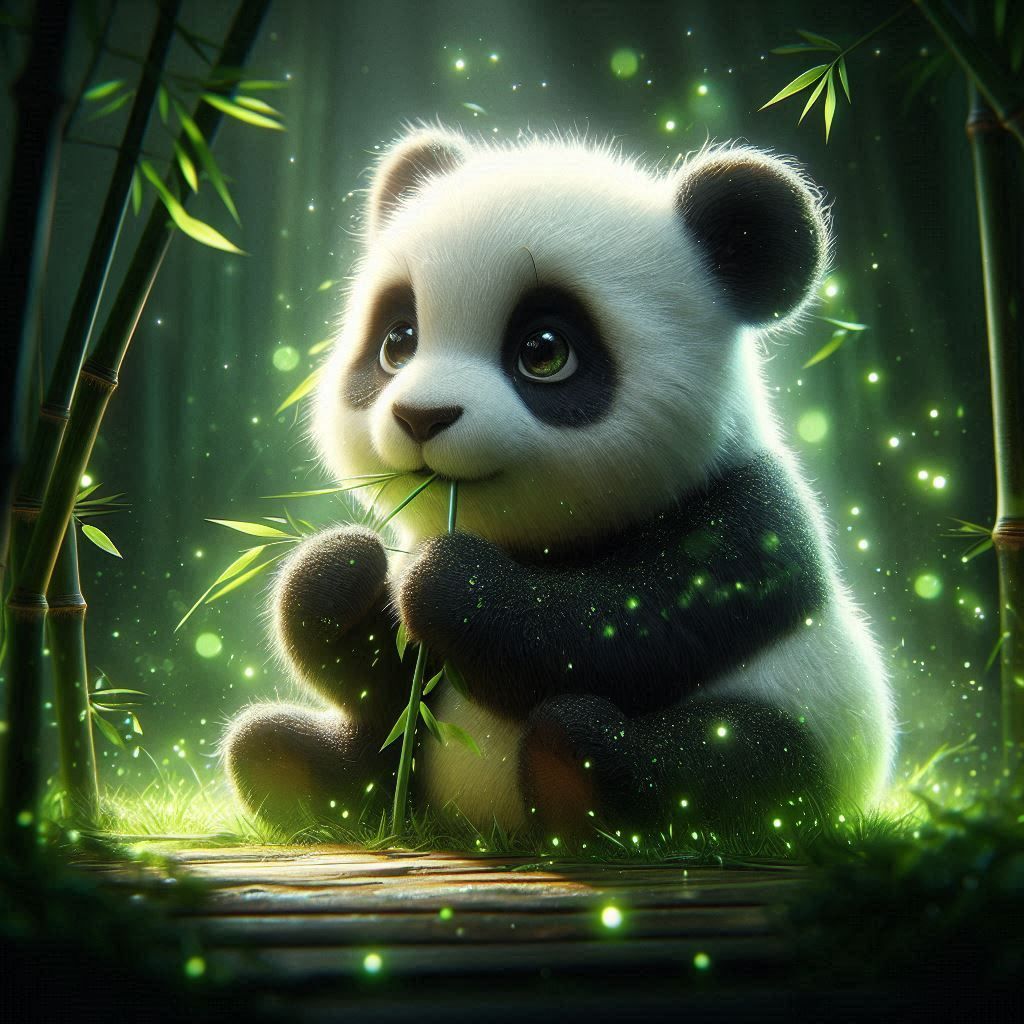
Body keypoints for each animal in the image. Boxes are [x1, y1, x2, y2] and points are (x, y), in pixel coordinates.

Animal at [223, 126, 895, 838]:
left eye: (543, 351)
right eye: (398, 342)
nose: (422, 417)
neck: (535, 544)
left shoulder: (748, 515)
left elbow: (627, 627)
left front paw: (453, 582)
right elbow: (379, 667)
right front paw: (340, 570)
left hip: (814, 731)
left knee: (737, 760)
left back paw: (578, 771)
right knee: (333, 740)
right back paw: (296, 771)